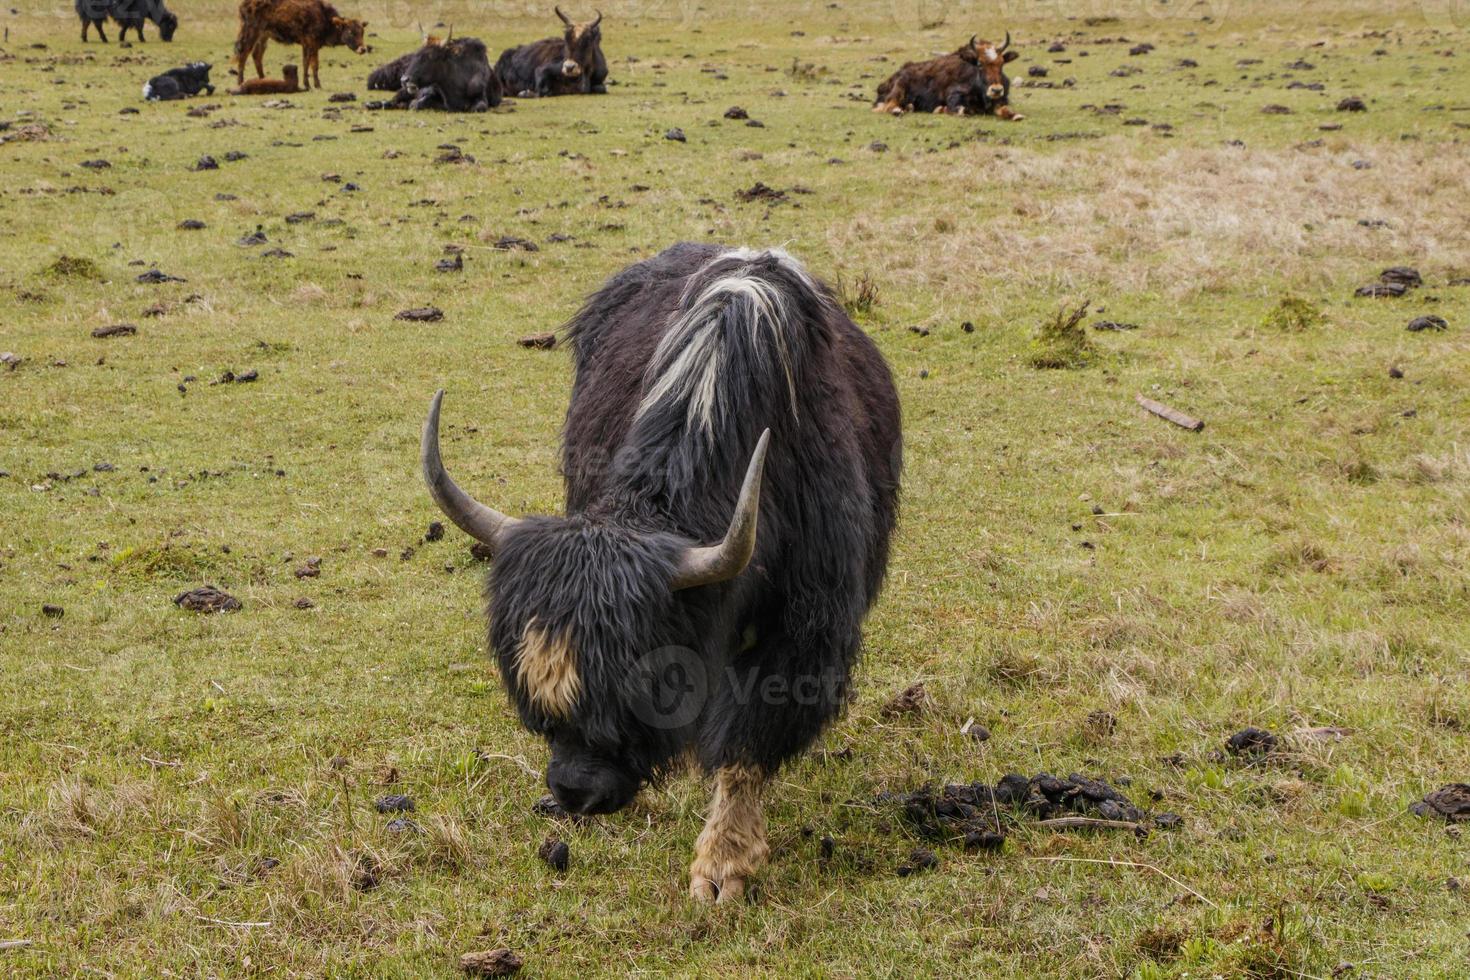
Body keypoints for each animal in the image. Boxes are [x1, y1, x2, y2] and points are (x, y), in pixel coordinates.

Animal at [232, 0, 367, 89]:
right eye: (350, 32)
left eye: (362, 32)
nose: (363, 49)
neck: (325, 19)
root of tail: (242, 5)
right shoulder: (311, 42)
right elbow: (313, 64)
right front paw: (315, 85)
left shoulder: (308, 44)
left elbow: (307, 63)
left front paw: (309, 84)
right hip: (250, 32)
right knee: (243, 54)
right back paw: (240, 82)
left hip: (264, 36)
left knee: (256, 55)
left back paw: (263, 79)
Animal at [870, 33, 1023, 120]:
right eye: (980, 64)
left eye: (1001, 63)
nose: (996, 90)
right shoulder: (954, 97)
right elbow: (961, 110)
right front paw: (940, 109)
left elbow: (1006, 109)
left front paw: (1016, 115)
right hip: (899, 88)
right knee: (886, 106)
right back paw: (897, 110)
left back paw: (909, 107)